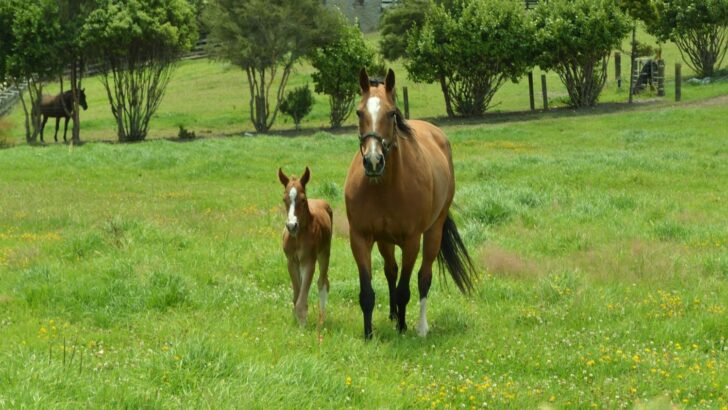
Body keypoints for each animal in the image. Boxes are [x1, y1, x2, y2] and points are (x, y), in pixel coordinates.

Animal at [278, 167, 333, 326]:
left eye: (303, 200)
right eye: (284, 199)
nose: (291, 225)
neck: (298, 237)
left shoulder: (309, 261)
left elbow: (303, 295)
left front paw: (302, 322)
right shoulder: (291, 262)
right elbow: (298, 293)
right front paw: (296, 320)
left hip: (325, 253)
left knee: (323, 282)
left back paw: (322, 319)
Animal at [344, 68, 477, 339]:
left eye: (391, 113)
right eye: (360, 112)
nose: (373, 161)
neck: (385, 188)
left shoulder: (412, 241)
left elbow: (405, 289)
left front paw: (403, 328)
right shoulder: (360, 238)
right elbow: (367, 292)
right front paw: (369, 334)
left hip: (434, 232)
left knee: (423, 277)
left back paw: (420, 327)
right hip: (384, 241)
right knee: (390, 271)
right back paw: (394, 315)